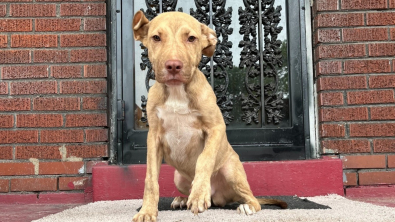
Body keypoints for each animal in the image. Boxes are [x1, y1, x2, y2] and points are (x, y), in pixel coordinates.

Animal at [133, 10, 288, 222]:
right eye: (156, 37)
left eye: (191, 38)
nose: (173, 66)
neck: (177, 91)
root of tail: (219, 197)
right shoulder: (154, 137)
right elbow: (150, 179)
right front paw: (147, 211)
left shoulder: (216, 127)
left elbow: (204, 159)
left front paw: (199, 194)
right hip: (178, 177)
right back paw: (183, 199)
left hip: (232, 171)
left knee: (253, 199)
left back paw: (245, 206)